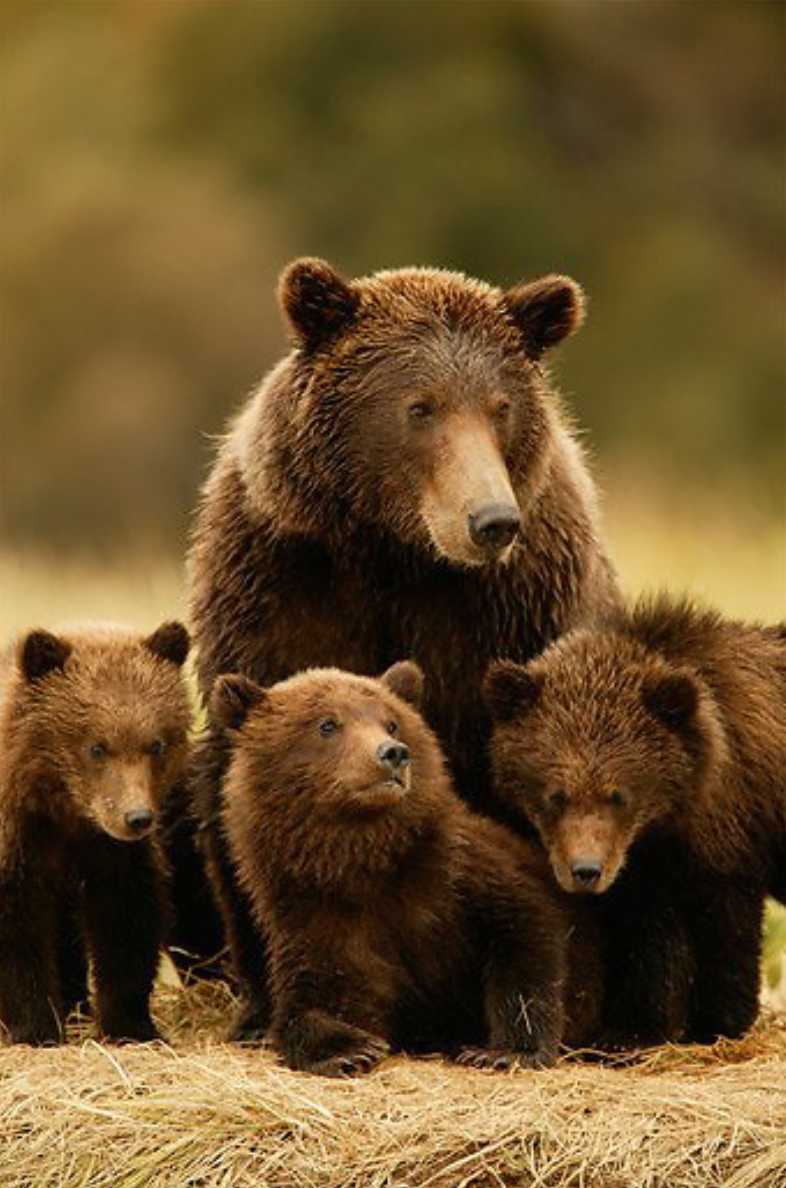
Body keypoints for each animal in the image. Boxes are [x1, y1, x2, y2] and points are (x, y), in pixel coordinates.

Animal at [0, 620, 190, 1045]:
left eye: (155, 744)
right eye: (97, 747)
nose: (137, 817)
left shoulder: (113, 855)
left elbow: (126, 924)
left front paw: (130, 1025)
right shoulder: (20, 839)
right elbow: (17, 931)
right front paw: (35, 1026)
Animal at [177, 257, 621, 1023]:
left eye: (500, 407)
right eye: (421, 407)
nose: (492, 520)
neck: (395, 552)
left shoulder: (510, 611)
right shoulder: (279, 584)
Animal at [211, 661, 602, 1074]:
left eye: (392, 722)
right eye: (327, 724)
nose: (393, 753)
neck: (363, 864)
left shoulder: (458, 879)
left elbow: (528, 934)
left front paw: (503, 1050)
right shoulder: (317, 920)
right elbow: (313, 1000)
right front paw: (349, 1050)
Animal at [484, 593, 786, 1046]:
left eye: (618, 795)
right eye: (556, 795)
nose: (585, 871)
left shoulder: (732, 835)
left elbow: (727, 932)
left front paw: (718, 1023)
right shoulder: (648, 867)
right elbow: (654, 942)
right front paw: (634, 1027)